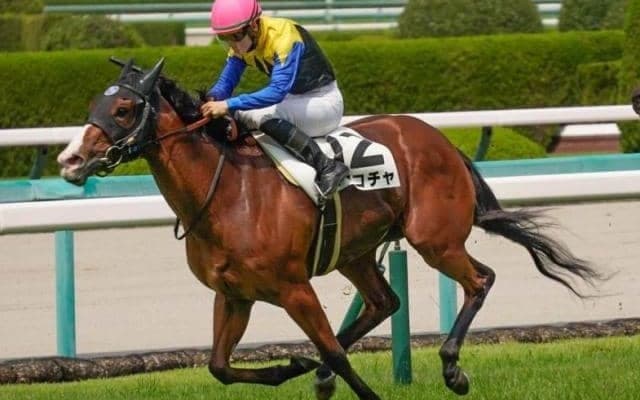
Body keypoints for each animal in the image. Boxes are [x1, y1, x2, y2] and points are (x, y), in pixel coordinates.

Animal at [57, 58, 602, 399]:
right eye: (93, 107)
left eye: (123, 109)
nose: (70, 160)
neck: (229, 192)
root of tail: (444, 142)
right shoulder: (233, 294)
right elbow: (219, 366)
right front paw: (292, 367)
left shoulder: (293, 288)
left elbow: (336, 354)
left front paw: (346, 383)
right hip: (356, 252)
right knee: (385, 302)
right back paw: (320, 370)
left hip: (434, 240)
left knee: (479, 280)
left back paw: (452, 367)